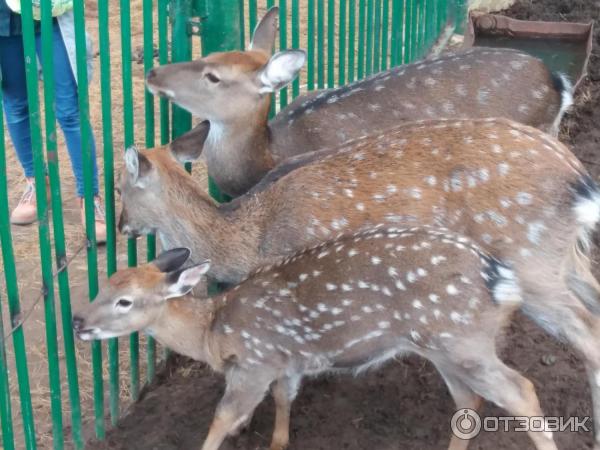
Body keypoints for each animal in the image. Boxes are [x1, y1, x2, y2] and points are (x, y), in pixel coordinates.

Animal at [72, 229, 560, 450]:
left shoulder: (254, 362)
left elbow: (222, 416)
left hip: (462, 339)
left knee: (521, 389)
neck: (212, 331)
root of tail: (501, 280)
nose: (77, 322)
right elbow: (283, 399)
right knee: (468, 401)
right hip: (444, 345)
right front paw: (279, 441)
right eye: (103, 283)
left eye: (125, 302)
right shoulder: (285, 362)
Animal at [116, 117, 600, 446]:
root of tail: (578, 174)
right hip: (563, 255)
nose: (121, 227)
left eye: (121, 188)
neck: (249, 240)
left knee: (584, 332)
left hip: (528, 257)